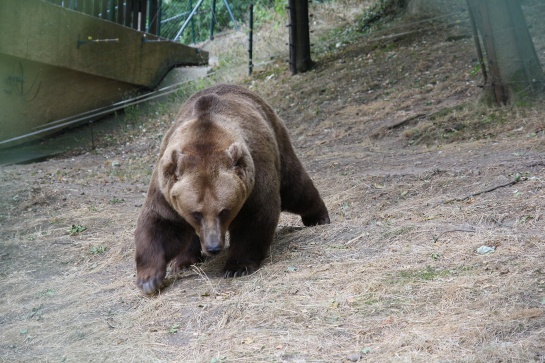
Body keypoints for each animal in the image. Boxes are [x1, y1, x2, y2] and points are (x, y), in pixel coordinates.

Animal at [134, 84, 330, 294]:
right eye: (196, 213)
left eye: (224, 211)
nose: (213, 247)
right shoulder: (166, 189)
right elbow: (161, 223)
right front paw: (149, 279)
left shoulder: (255, 174)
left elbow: (255, 217)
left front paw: (237, 267)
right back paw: (183, 261)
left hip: (278, 141)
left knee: (294, 188)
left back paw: (318, 217)